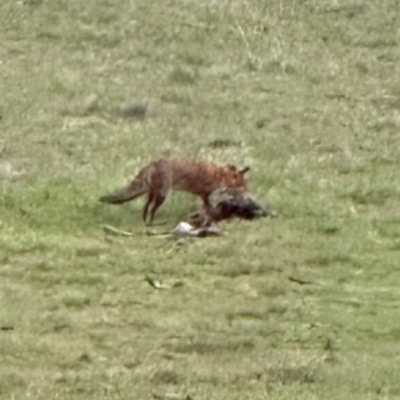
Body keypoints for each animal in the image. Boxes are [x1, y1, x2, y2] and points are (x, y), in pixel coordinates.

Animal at [99, 157, 250, 225]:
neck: (220, 176)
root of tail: (154, 162)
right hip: (162, 195)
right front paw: (210, 221)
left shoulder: (203, 196)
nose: (249, 194)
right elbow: (210, 211)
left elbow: (207, 211)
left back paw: (145, 222)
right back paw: (151, 224)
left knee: (146, 208)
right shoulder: (206, 195)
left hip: (152, 193)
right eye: (244, 186)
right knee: (152, 210)